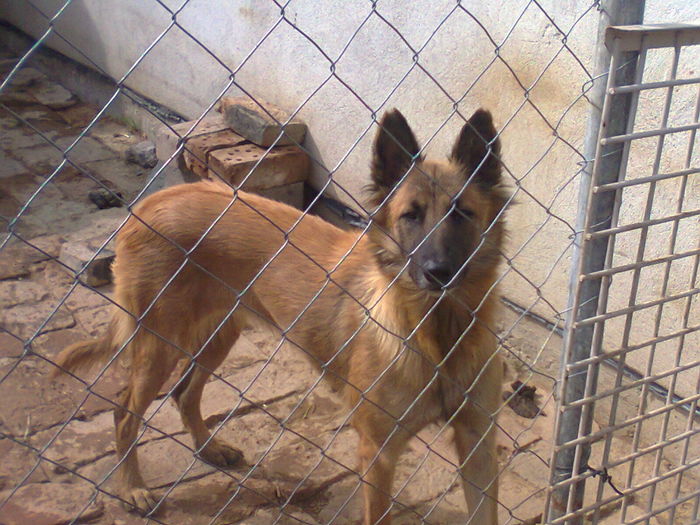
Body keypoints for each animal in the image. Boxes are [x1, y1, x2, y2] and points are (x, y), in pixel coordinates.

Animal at [52, 108, 506, 520]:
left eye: (463, 214)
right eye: (410, 215)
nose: (439, 272)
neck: (439, 333)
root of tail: (151, 201)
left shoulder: (479, 446)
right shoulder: (379, 453)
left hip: (218, 334)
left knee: (185, 393)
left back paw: (209, 447)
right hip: (159, 344)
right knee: (124, 411)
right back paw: (133, 488)